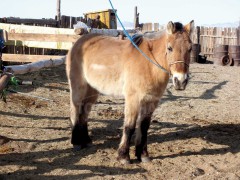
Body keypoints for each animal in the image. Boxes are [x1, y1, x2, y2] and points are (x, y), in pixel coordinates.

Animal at [66, 20, 195, 164]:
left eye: (190, 48)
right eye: (170, 48)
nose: (181, 81)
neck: (149, 64)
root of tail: (78, 43)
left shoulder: (151, 101)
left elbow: (144, 126)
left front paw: (143, 155)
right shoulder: (133, 99)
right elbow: (129, 127)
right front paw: (123, 156)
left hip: (92, 91)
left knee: (84, 112)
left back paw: (86, 141)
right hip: (78, 88)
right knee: (75, 110)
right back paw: (76, 142)